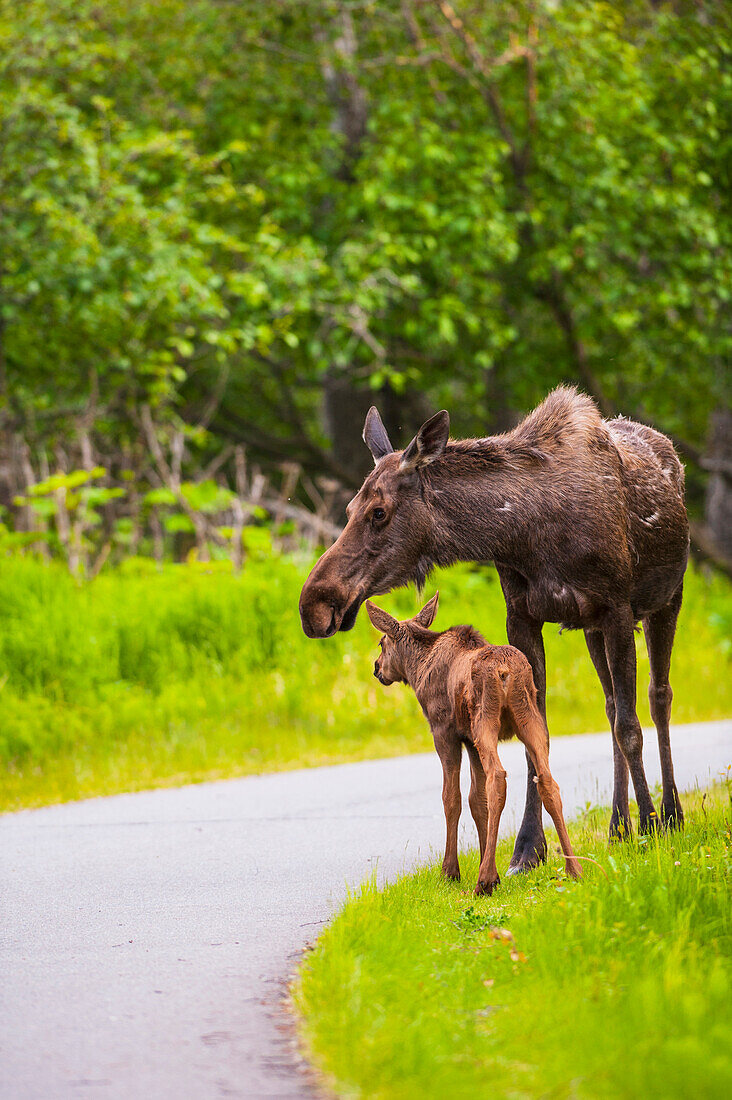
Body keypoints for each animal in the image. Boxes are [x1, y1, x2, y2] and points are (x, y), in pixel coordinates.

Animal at [367, 594, 581, 893]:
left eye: (381, 643)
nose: (377, 668)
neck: (417, 668)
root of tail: (505, 671)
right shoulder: (469, 740)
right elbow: (477, 801)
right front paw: (483, 862)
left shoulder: (444, 732)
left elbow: (452, 798)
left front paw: (450, 871)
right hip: (530, 717)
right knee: (547, 779)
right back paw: (574, 869)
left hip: (486, 721)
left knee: (498, 777)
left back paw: (485, 880)